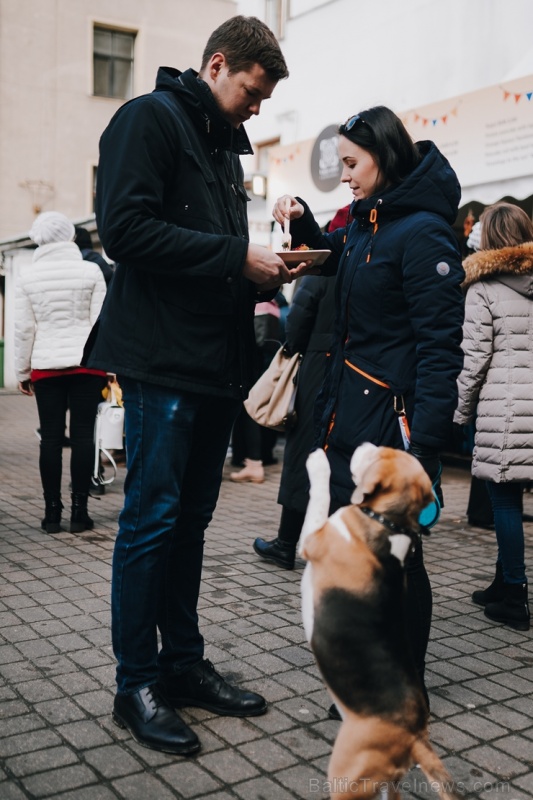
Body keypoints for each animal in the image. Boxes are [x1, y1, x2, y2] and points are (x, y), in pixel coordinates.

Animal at [300, 444, 458, 800]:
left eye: (382, 454)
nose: (363, 445)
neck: (389, 523)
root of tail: (415, 737)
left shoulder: (313, 539)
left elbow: (319, 497)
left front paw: (319, 463)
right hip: (386, 781)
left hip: (346, 775)